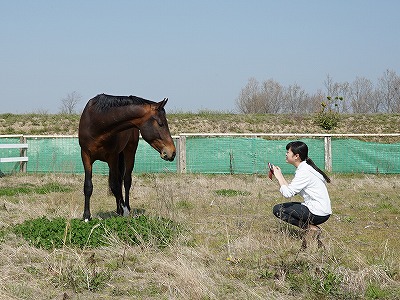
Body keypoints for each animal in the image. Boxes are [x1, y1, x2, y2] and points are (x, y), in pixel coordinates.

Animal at [79, 92, 176, 221]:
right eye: (161, 124)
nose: (172, 152)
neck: (97, 123)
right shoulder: (85, 156)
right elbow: (88, 186)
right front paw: (86, 217)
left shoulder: (112, 157)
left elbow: (115, 185)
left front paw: (123, 210)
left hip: (129, 152)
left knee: (126, 181)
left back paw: (126, 208)